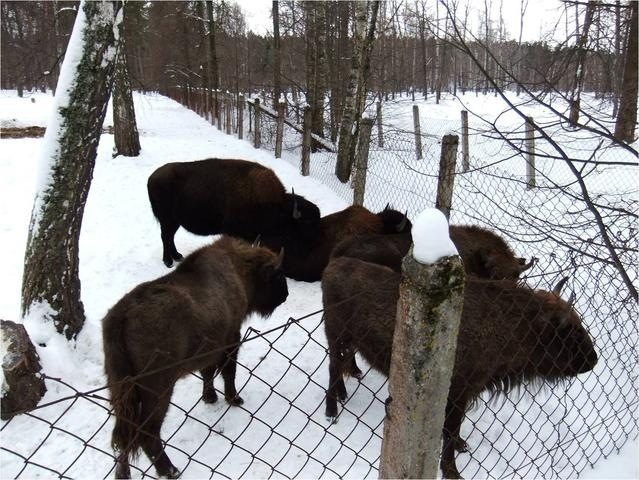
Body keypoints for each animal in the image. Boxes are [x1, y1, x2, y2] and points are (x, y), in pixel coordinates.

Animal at [104, 237, 288, 480]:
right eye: (277, 275)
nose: (285, 295)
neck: (238, 268)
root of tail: (121, 317)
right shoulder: (231, 339)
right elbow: (228, 371)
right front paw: (234, 399)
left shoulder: (209, 350)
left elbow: (207, 372)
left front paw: (209, 398)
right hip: (158, 389)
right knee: (147, 432)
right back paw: (171, 471)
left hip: (120, 389)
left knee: (123, 434)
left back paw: (123, 474)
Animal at [149, 159, 320, 268]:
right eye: (307, 222)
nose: (313, 246)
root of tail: (152, 178)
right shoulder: (232, 231)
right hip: (167, 219)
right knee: (165, 236)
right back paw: (168, 262)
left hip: (174, 221)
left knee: (170, 237)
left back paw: (177, 256)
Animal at [324, 256, 600, 480]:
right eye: (566, 332)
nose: (592, 360)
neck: (515, 325)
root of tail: (334, 265)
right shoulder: (457, 393)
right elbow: (449, 430)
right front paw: (452, 472)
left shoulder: (467, 393)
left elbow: (455, 429)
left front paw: (462, 445)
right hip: (337, 337)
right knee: (333, 367)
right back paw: (331, 412)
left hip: (348, 341)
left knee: (342, 366)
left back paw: (345, 391)